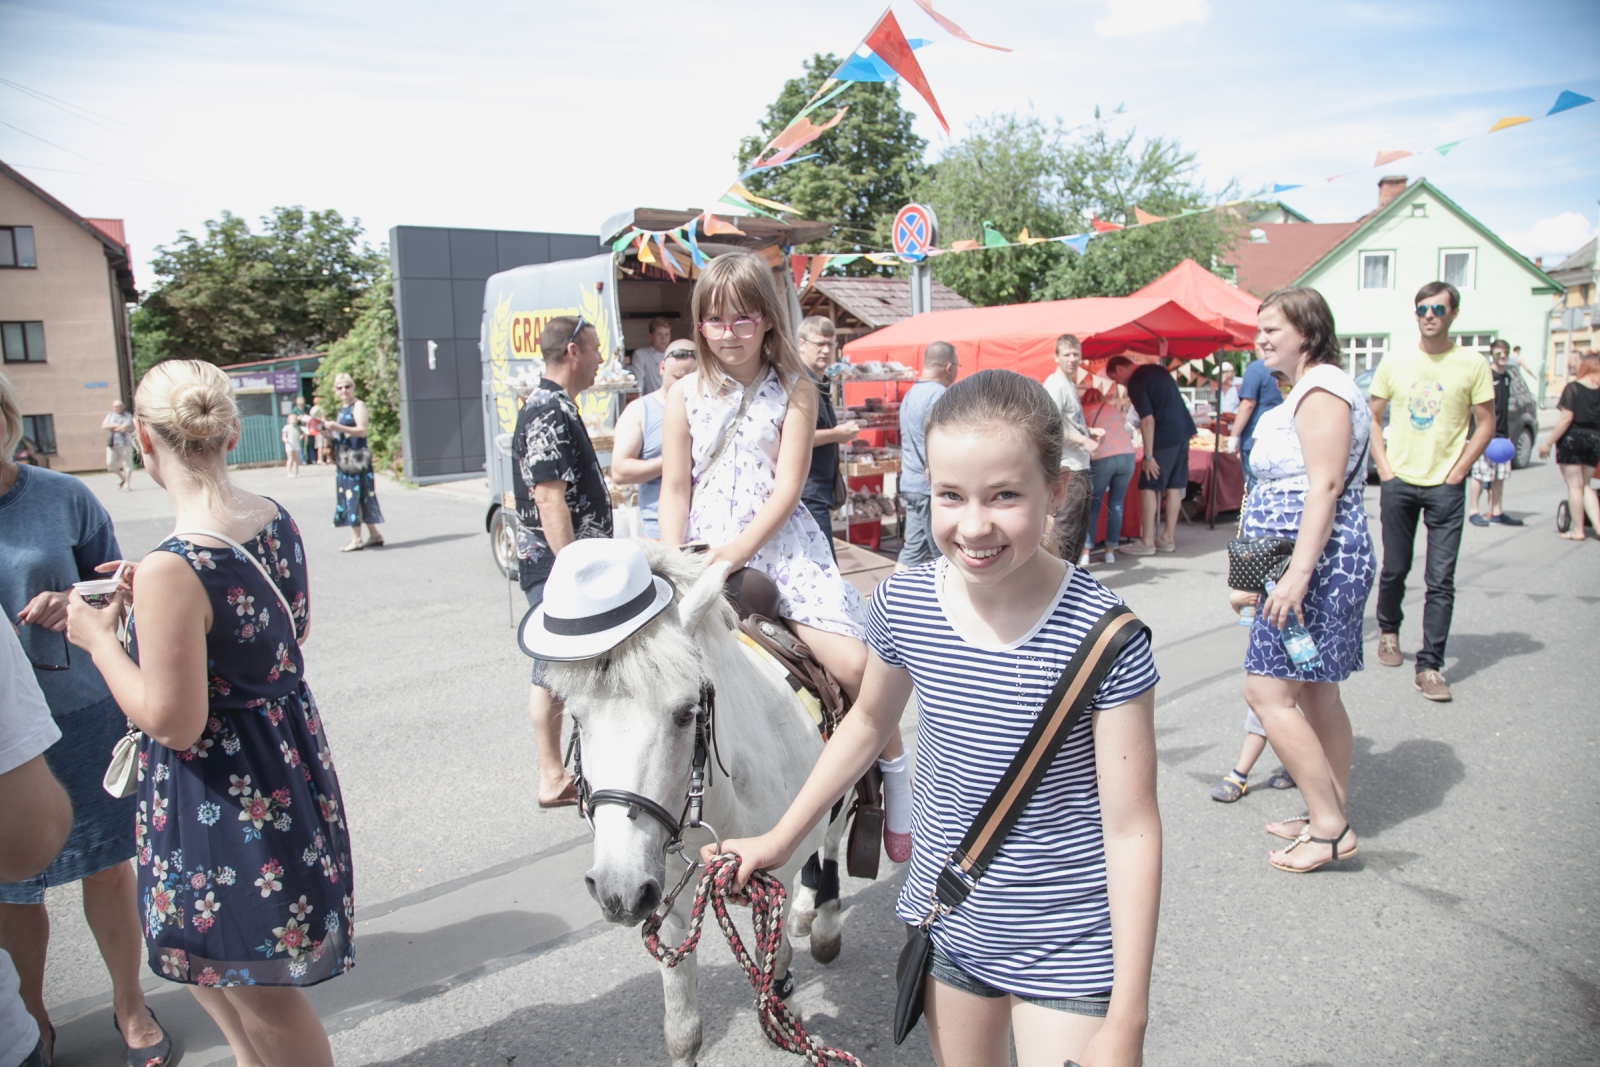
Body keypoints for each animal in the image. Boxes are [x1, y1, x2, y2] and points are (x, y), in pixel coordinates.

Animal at [544, 547, 851, 1062]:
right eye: (577, 717)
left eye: (686, 713)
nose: (617, 890)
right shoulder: (664, 903)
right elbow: (683, 1030)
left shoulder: (776, 870)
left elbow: (775, 953)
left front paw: (783, 1003)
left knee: (829, 839)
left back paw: (823, 921)